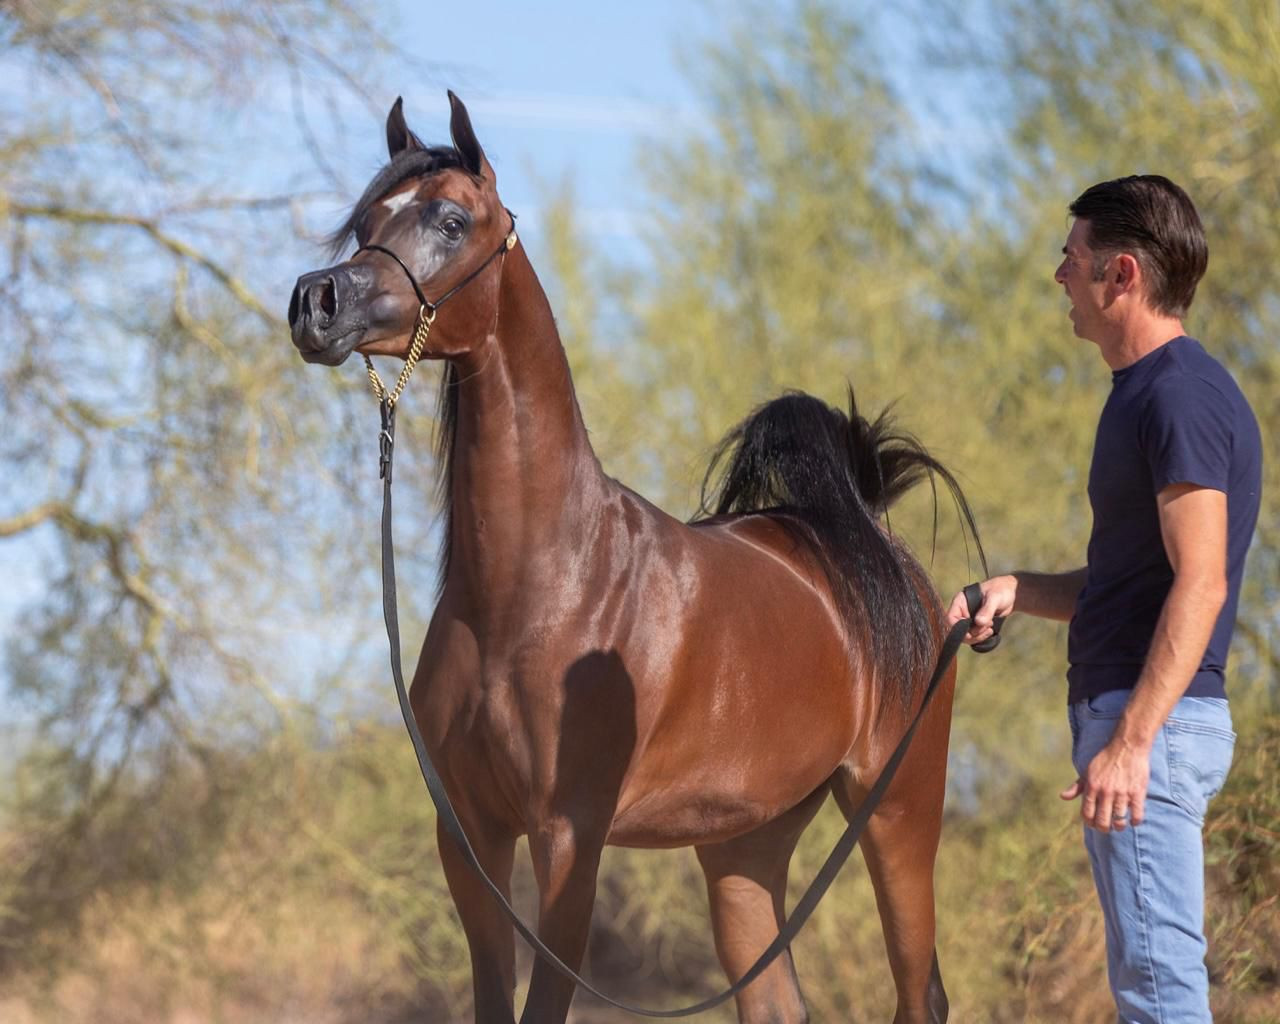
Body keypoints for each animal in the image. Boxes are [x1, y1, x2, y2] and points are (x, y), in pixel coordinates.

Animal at [288, 92, 982, 1024]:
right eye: (366, 222)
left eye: (450, 218)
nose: (315, 302)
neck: (537, 587)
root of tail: (874, 544)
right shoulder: (469, 837)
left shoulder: (569, 840)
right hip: (745, 847)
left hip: (899, 811)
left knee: (920, 989)